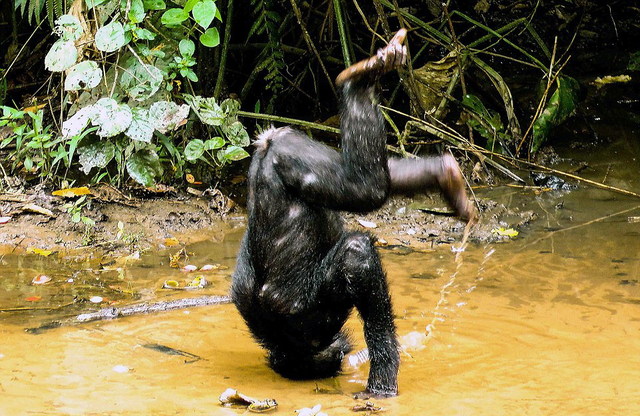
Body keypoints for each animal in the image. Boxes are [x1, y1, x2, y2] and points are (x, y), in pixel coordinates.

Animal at [231, 29, 476, 396]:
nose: (342, 349)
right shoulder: (311, 316)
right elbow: (357, 262)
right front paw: (382, 383)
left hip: (287, 148)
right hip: (297, 162)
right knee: (365, 190)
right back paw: (360, 82)